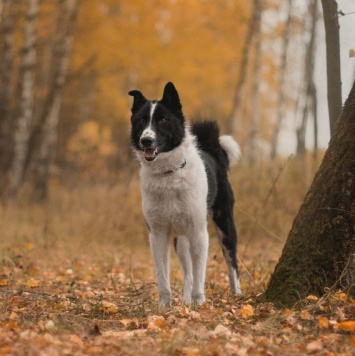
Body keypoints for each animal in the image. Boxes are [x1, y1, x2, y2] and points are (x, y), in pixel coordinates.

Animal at [128, 81, 242, 306]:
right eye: (141, 120)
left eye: (163, 120)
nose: (146, 140)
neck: (168, 174)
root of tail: (212, 149)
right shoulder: (158, 234)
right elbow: (163, 276)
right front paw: (164, 306)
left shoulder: (199, 233)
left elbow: (200, 274)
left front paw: (199, 303)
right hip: (180, 239)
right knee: (187, 270)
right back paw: (186, 301)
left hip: (224, 223)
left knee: (231, 261)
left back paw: (236, 293)